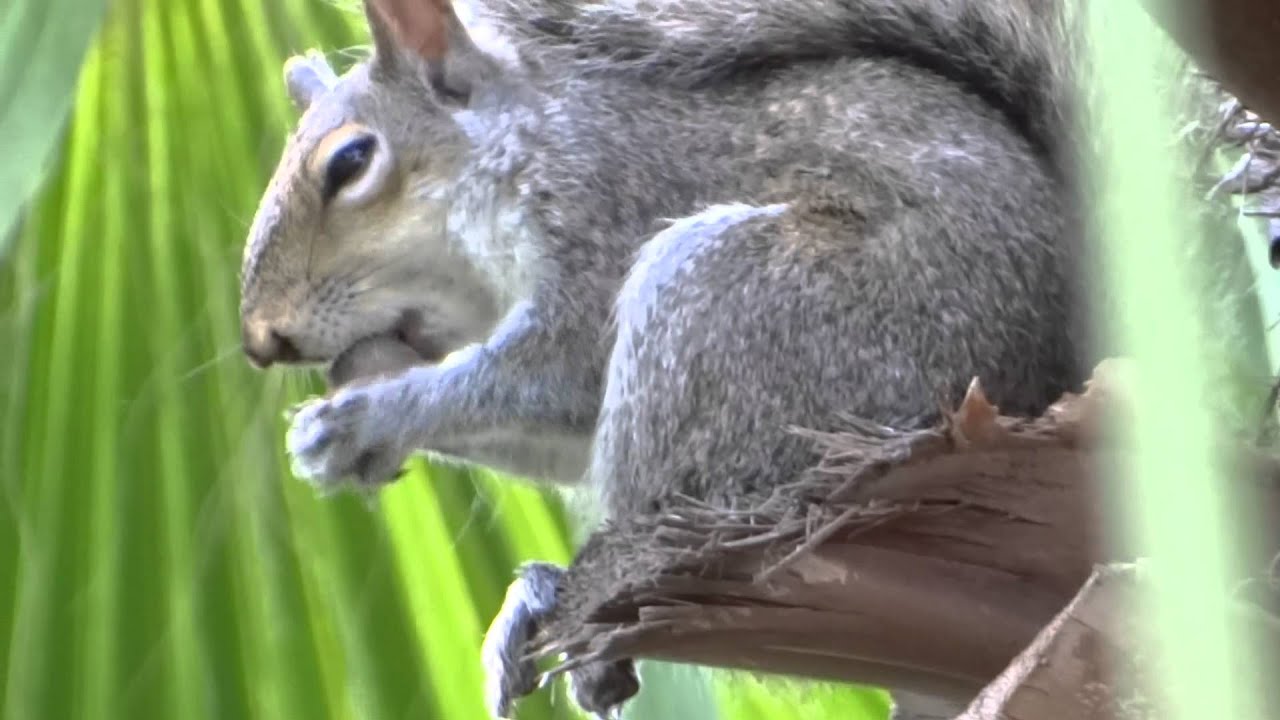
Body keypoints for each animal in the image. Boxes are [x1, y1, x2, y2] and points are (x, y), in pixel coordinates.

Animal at [238, 0, 1090, 717]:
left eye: (350, 163)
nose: (260, 339)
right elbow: (559, 433)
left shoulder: (605, 211)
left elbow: (557, 375)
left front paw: (366, 418)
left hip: (734, 313)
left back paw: (566, 603)